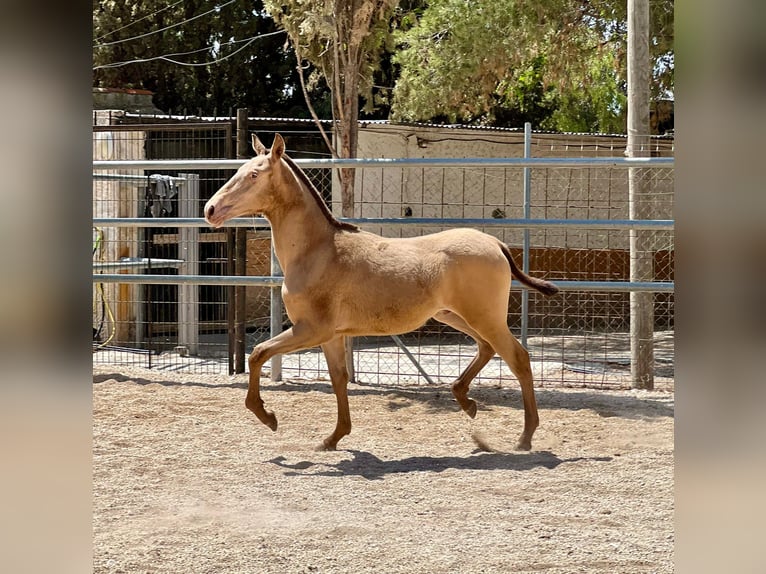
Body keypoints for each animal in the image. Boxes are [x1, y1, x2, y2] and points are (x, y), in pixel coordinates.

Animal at [204, 135, 560, 454]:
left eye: (254, 174)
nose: (210, 209)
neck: (318, 251)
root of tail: (496, 245)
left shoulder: (311, 329)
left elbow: (257, 353)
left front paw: (268, 417)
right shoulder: (332, 335)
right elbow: (339, 379)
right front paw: (333, 439)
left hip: (484, 317)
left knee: (518, 358)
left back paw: (524, 437)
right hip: (455, 315)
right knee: (487, 348)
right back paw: (466, 401)